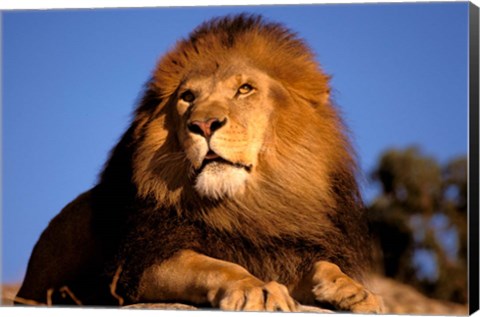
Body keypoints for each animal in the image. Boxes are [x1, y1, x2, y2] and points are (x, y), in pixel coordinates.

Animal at [14, 14, 382, 312]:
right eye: (188, 97)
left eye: (244, 89)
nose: (204, 125)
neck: (248, 207)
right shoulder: (141, 264)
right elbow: (215, 266)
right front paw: (258, 288)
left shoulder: (283, 251)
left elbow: (322, 265)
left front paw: (355, 290)